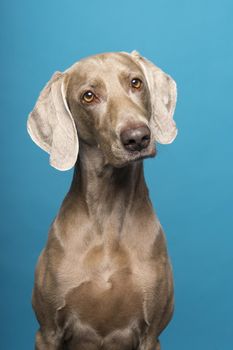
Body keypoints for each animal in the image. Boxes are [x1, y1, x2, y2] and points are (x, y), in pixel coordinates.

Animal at [27, 50, 177, 350]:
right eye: (88, 96)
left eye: (136, 82)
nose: (137, 137)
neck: (108, 213)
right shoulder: (47, 332)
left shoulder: (151, 334)